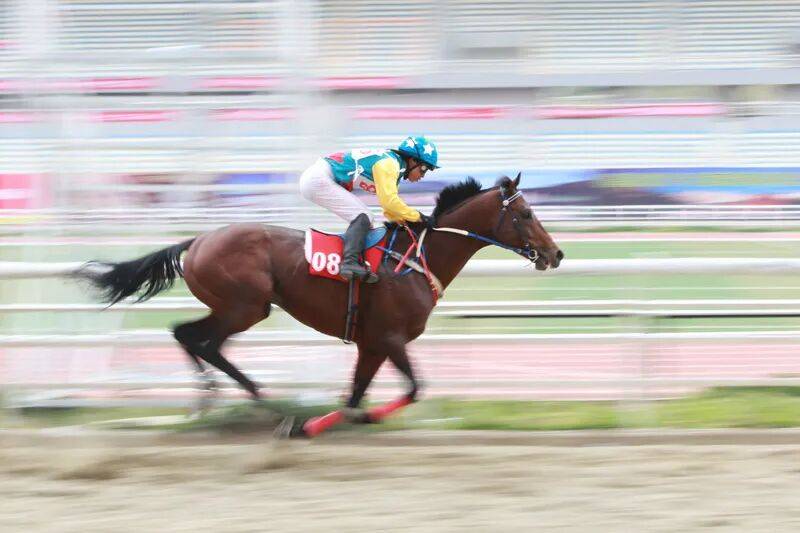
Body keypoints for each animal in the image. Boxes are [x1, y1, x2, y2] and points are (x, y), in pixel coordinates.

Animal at [79, 174, 563, 437]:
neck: (415, 258)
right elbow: (411, 388)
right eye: (525, 214)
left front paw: (338, 421)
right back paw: (253, 401)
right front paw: (311, 425)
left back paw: (219, 400)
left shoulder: (372, 344)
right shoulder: (390, 338)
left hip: (239, 308)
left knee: (187, 336)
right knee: (200, 341)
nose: (555, 254)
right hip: (246, 306)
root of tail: (197, 241)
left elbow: (356, 394)